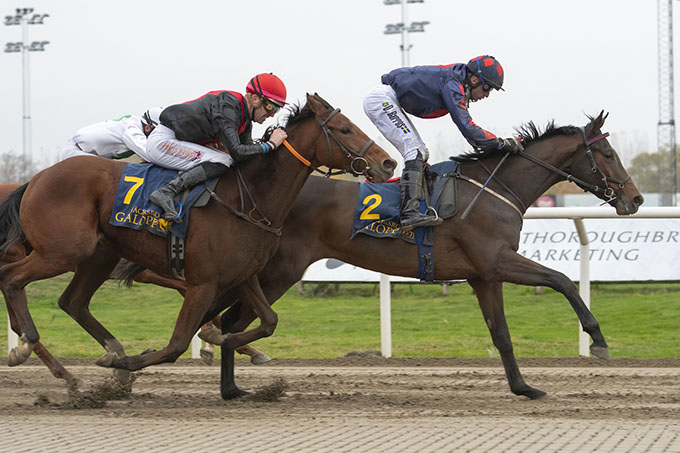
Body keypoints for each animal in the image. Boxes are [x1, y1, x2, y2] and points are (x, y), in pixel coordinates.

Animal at [0, 91, 396, 378]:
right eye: (345, 129)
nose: (387, 162)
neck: (246, 197)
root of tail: (35, 178)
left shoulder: (243, 273)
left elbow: (268, 321)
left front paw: (225, 340)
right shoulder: (202, 281)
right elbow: (177, 344)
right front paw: (131, 365)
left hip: (99, 255)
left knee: (72, 302)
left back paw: (96, 359)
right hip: (65, 250)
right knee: (12, 278)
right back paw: (28, 346)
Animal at [209, 111, 648, 398]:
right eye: (608, 154)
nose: (636, 199)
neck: (495, 188)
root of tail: (260, 201)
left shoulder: (483, 276)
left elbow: (502, 335)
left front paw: (524, 387)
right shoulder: (496, 260)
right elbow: (562, 280)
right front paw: (598, 339)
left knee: (226, 320)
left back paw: (232, 387)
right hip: (276, 272)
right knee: (228, 318)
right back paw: (229, 378)